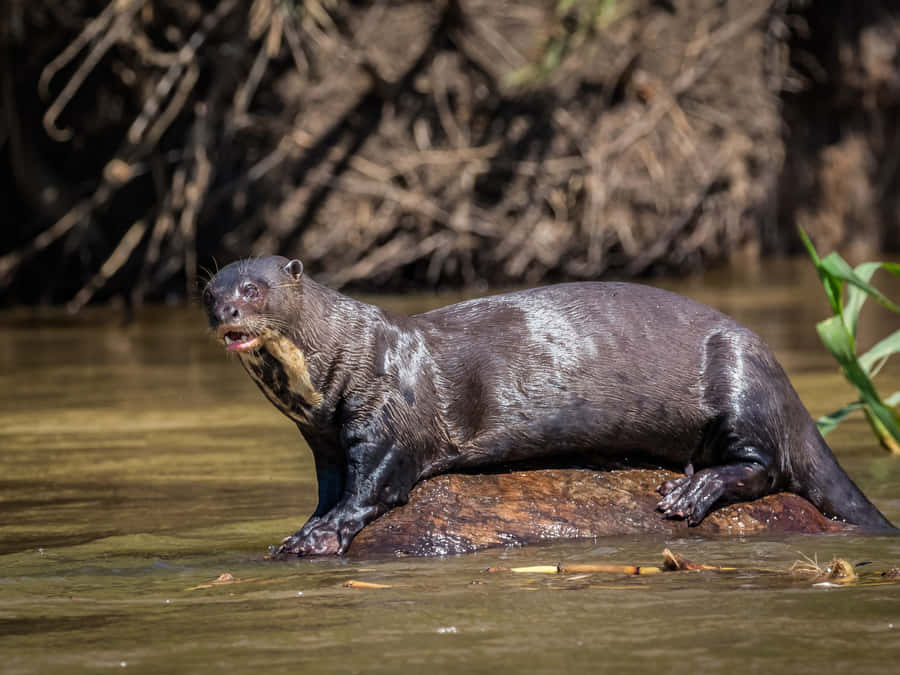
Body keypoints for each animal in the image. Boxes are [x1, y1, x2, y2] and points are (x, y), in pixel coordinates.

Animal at [203, 256, 895, 555]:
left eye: (253, 289)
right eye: (210, 292)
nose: (227, 312)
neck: (340, 359)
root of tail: (777, 372)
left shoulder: (392, 419)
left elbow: (373, 487)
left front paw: (322, 536)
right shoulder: (321, 437)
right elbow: (328, 486)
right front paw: (302, 527)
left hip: (741, 384)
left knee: (768, 466)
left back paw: (692, 492)